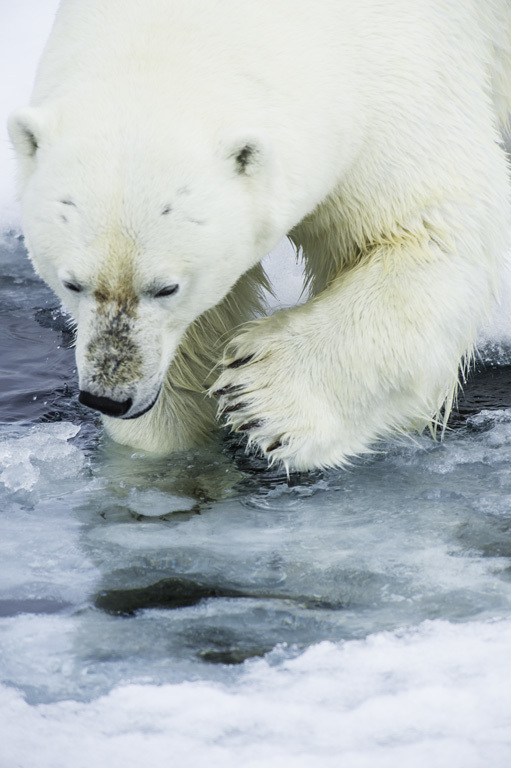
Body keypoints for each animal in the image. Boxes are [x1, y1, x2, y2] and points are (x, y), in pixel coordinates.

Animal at [7, 0, 511, 468]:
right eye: (71, 283)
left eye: (167, 287)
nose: (110, 397)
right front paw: (162, 448)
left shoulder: (404, 82)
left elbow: (431, 236)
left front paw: (261, 398)